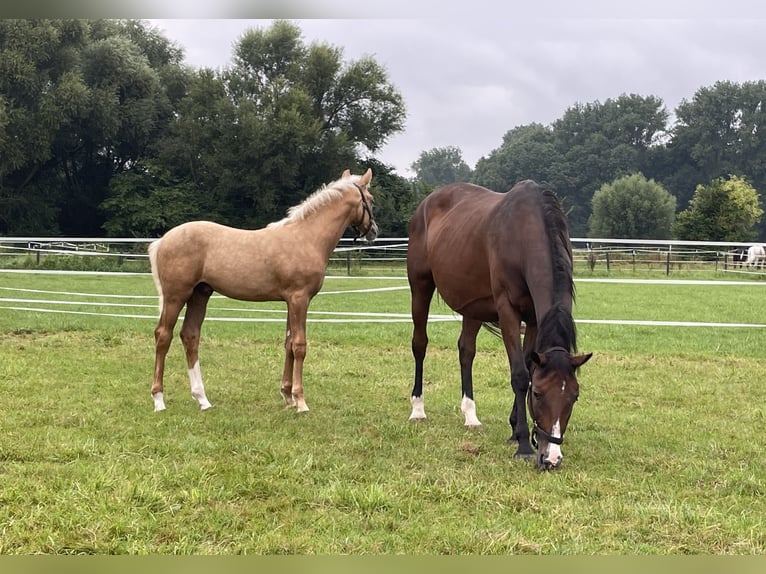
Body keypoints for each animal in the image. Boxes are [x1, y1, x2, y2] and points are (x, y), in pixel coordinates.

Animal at [146, 168, 378, 414]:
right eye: (371, 200)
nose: (373, 231)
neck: (306, 237)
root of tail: (161, 241)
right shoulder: (300, 299)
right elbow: (299, 346)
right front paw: (300, 401)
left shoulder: (290, 301)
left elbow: (288, 344)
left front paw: (287, 396)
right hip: (176, 297)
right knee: (163, 336)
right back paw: (159, 399)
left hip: (200, 295)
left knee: (190, 336)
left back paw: (202, 399)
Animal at [408, 181, 592, 472]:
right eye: (538, 394)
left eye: (574, 396)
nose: (551, 458)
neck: (524, 231)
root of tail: (426, 202)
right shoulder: (508, 311)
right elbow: (519, 375)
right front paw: (524, 445)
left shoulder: (533, 319)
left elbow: (527, 366)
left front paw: (515, 429)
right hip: (420, 287)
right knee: (420, 344)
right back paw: (417, 409)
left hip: (472, 306)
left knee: (466, 351)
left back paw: (470, 415)